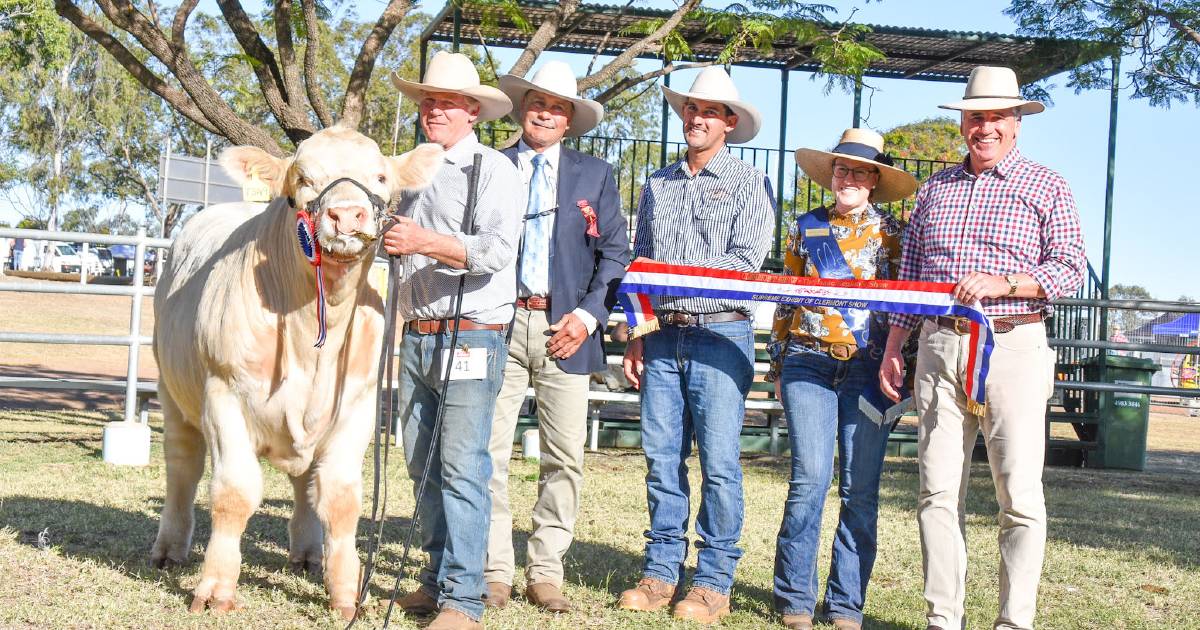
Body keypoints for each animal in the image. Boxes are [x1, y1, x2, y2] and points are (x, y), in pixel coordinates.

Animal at [152, 125, 444, 614]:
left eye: (381, 176)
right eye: (304, 178)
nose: (347, 214)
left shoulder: (358, 407)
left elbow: (341, 498)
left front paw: (346, 595)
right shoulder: (224, 395)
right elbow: (233, 493)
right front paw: (215, 590)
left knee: (306, 482)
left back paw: (308, 555)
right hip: (171, 391)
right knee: (183, 467)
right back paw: (169, 549)